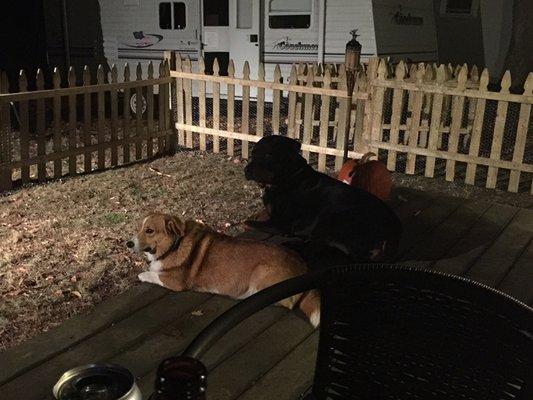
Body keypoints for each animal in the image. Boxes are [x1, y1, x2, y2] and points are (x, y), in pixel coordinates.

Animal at [243, 136, 402, 264]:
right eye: (253, 153)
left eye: (268, 155)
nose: (246, 170)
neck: (288, 178)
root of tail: (392, 238)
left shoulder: (282, 224)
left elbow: (247, 223)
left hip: (332, 219)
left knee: (314, 250)